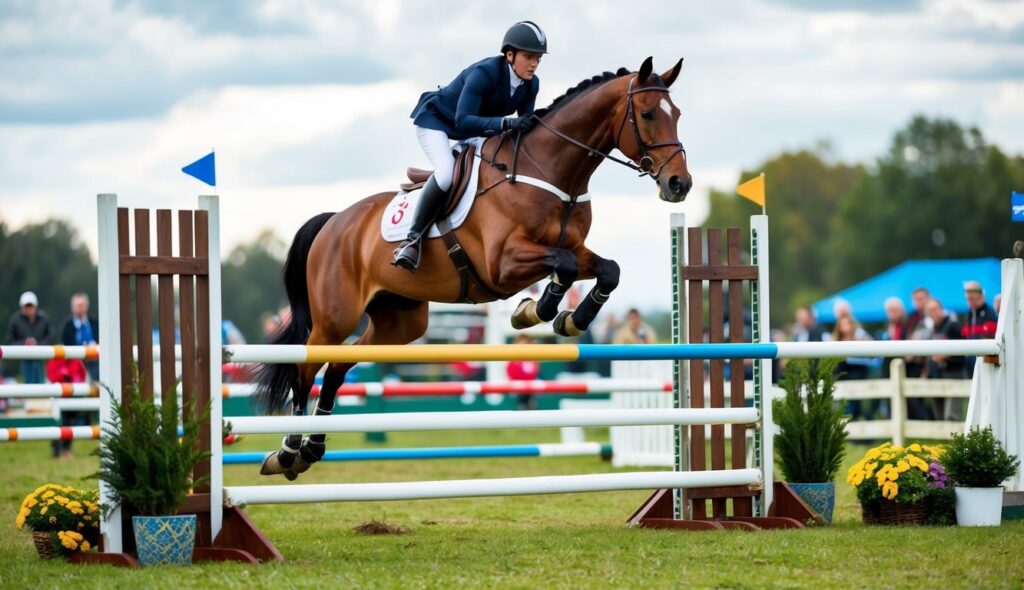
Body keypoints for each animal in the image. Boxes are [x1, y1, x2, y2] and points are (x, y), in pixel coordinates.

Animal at [251, 55, 692, 479]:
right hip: (335, 317)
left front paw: (569, 319)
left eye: (678, 113)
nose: (679, 184)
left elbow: (608, 270)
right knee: (306, 371)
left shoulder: (574, 248)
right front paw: (534, 311)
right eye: (648, 114)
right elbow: (563, 267)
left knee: (338, 368)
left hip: (399, 321)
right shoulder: (504, 262)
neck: (550, 171)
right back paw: (287, 453)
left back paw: (312, 449)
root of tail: (335, 221)